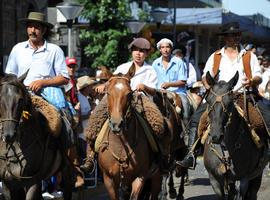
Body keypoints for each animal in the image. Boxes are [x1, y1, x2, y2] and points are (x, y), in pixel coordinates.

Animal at [202, 72, 268, 200]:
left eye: (230, 102)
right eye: (208, 101)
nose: (216, 136)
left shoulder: (244, 179)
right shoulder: (214, 180)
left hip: (257, 175)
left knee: (252, 193)